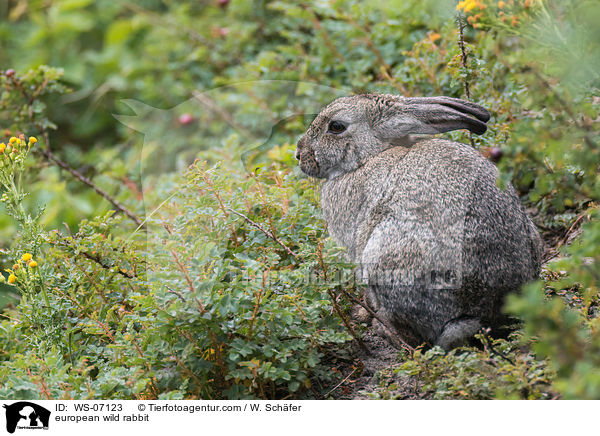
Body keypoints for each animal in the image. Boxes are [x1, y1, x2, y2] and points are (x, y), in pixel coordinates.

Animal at [296, 93, 544, 350]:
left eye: (336, 126)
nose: (299, 155)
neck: (369, 157)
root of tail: (489, 315)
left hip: (388, 258)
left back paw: (382, 327)